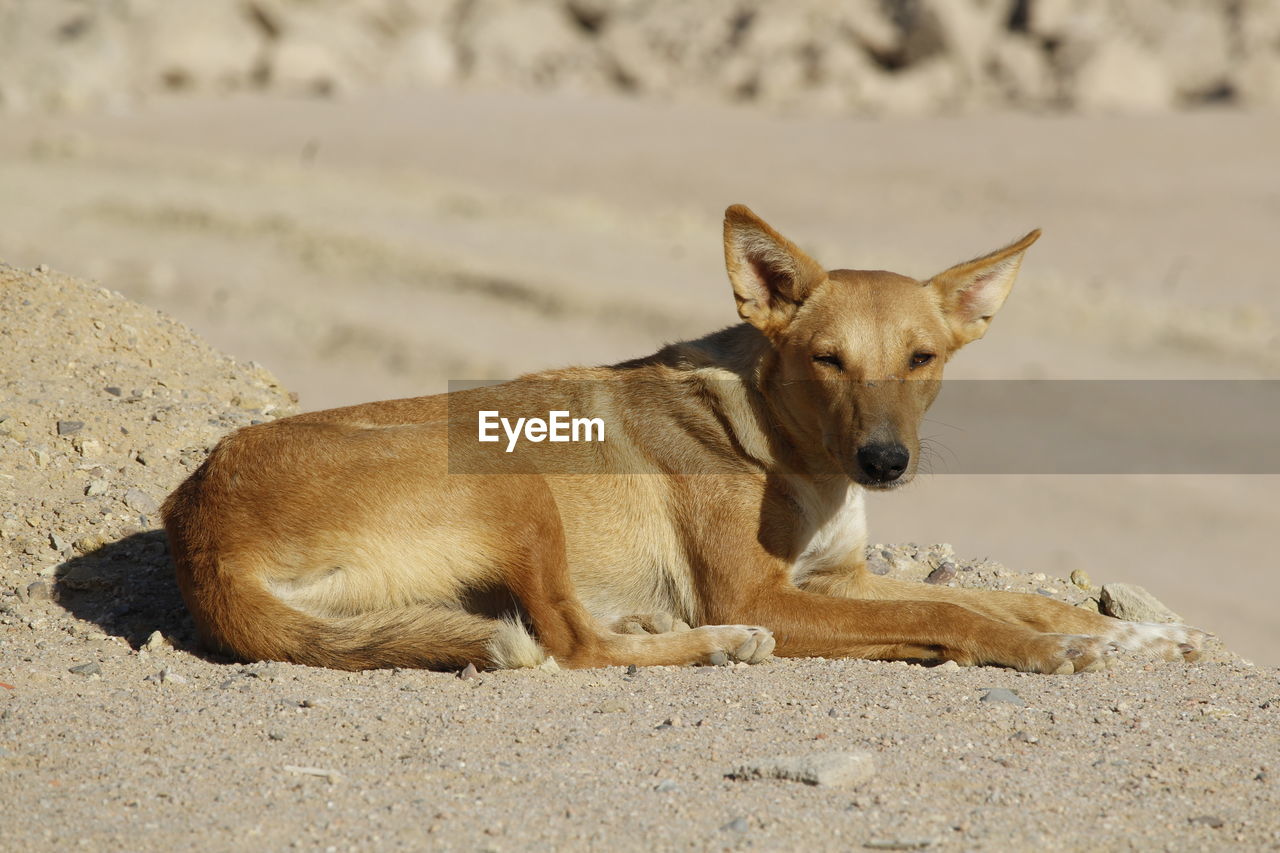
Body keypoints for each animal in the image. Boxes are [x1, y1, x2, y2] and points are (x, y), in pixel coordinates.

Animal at [160, 204, 1198, 671]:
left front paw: (1129, 626)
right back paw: (712, 643)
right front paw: (1044, 649)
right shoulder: (768, 591)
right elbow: (958, 613)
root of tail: (203, 532)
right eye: (827, 358)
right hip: (510, 471)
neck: (788, 449)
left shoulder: (840, 578)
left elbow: (1009, 596)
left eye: (923, 357)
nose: (885, 462)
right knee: (571, 644)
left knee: (568, 626)